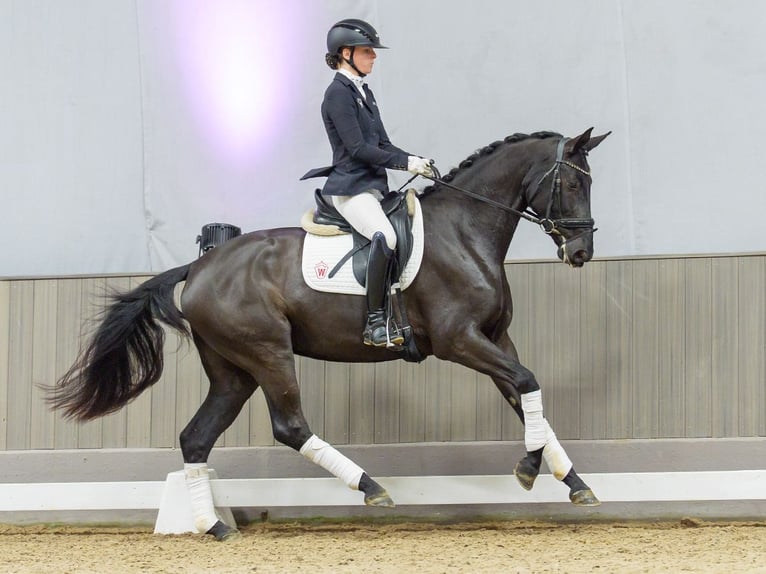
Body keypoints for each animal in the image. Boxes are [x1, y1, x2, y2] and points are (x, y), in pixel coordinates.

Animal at [49, 128, 610, 540]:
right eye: (573, 184)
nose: (581, 252)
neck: (464, 232)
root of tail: (201, 265)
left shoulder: (495, 337)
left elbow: (527, 397)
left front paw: (573, 483)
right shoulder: (459, 341)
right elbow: (528, 381)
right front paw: (529, 469)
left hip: (233, 372)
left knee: (196, 436)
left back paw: (213, 527)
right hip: (268, 352)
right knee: (290, 426)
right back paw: (371, 488)